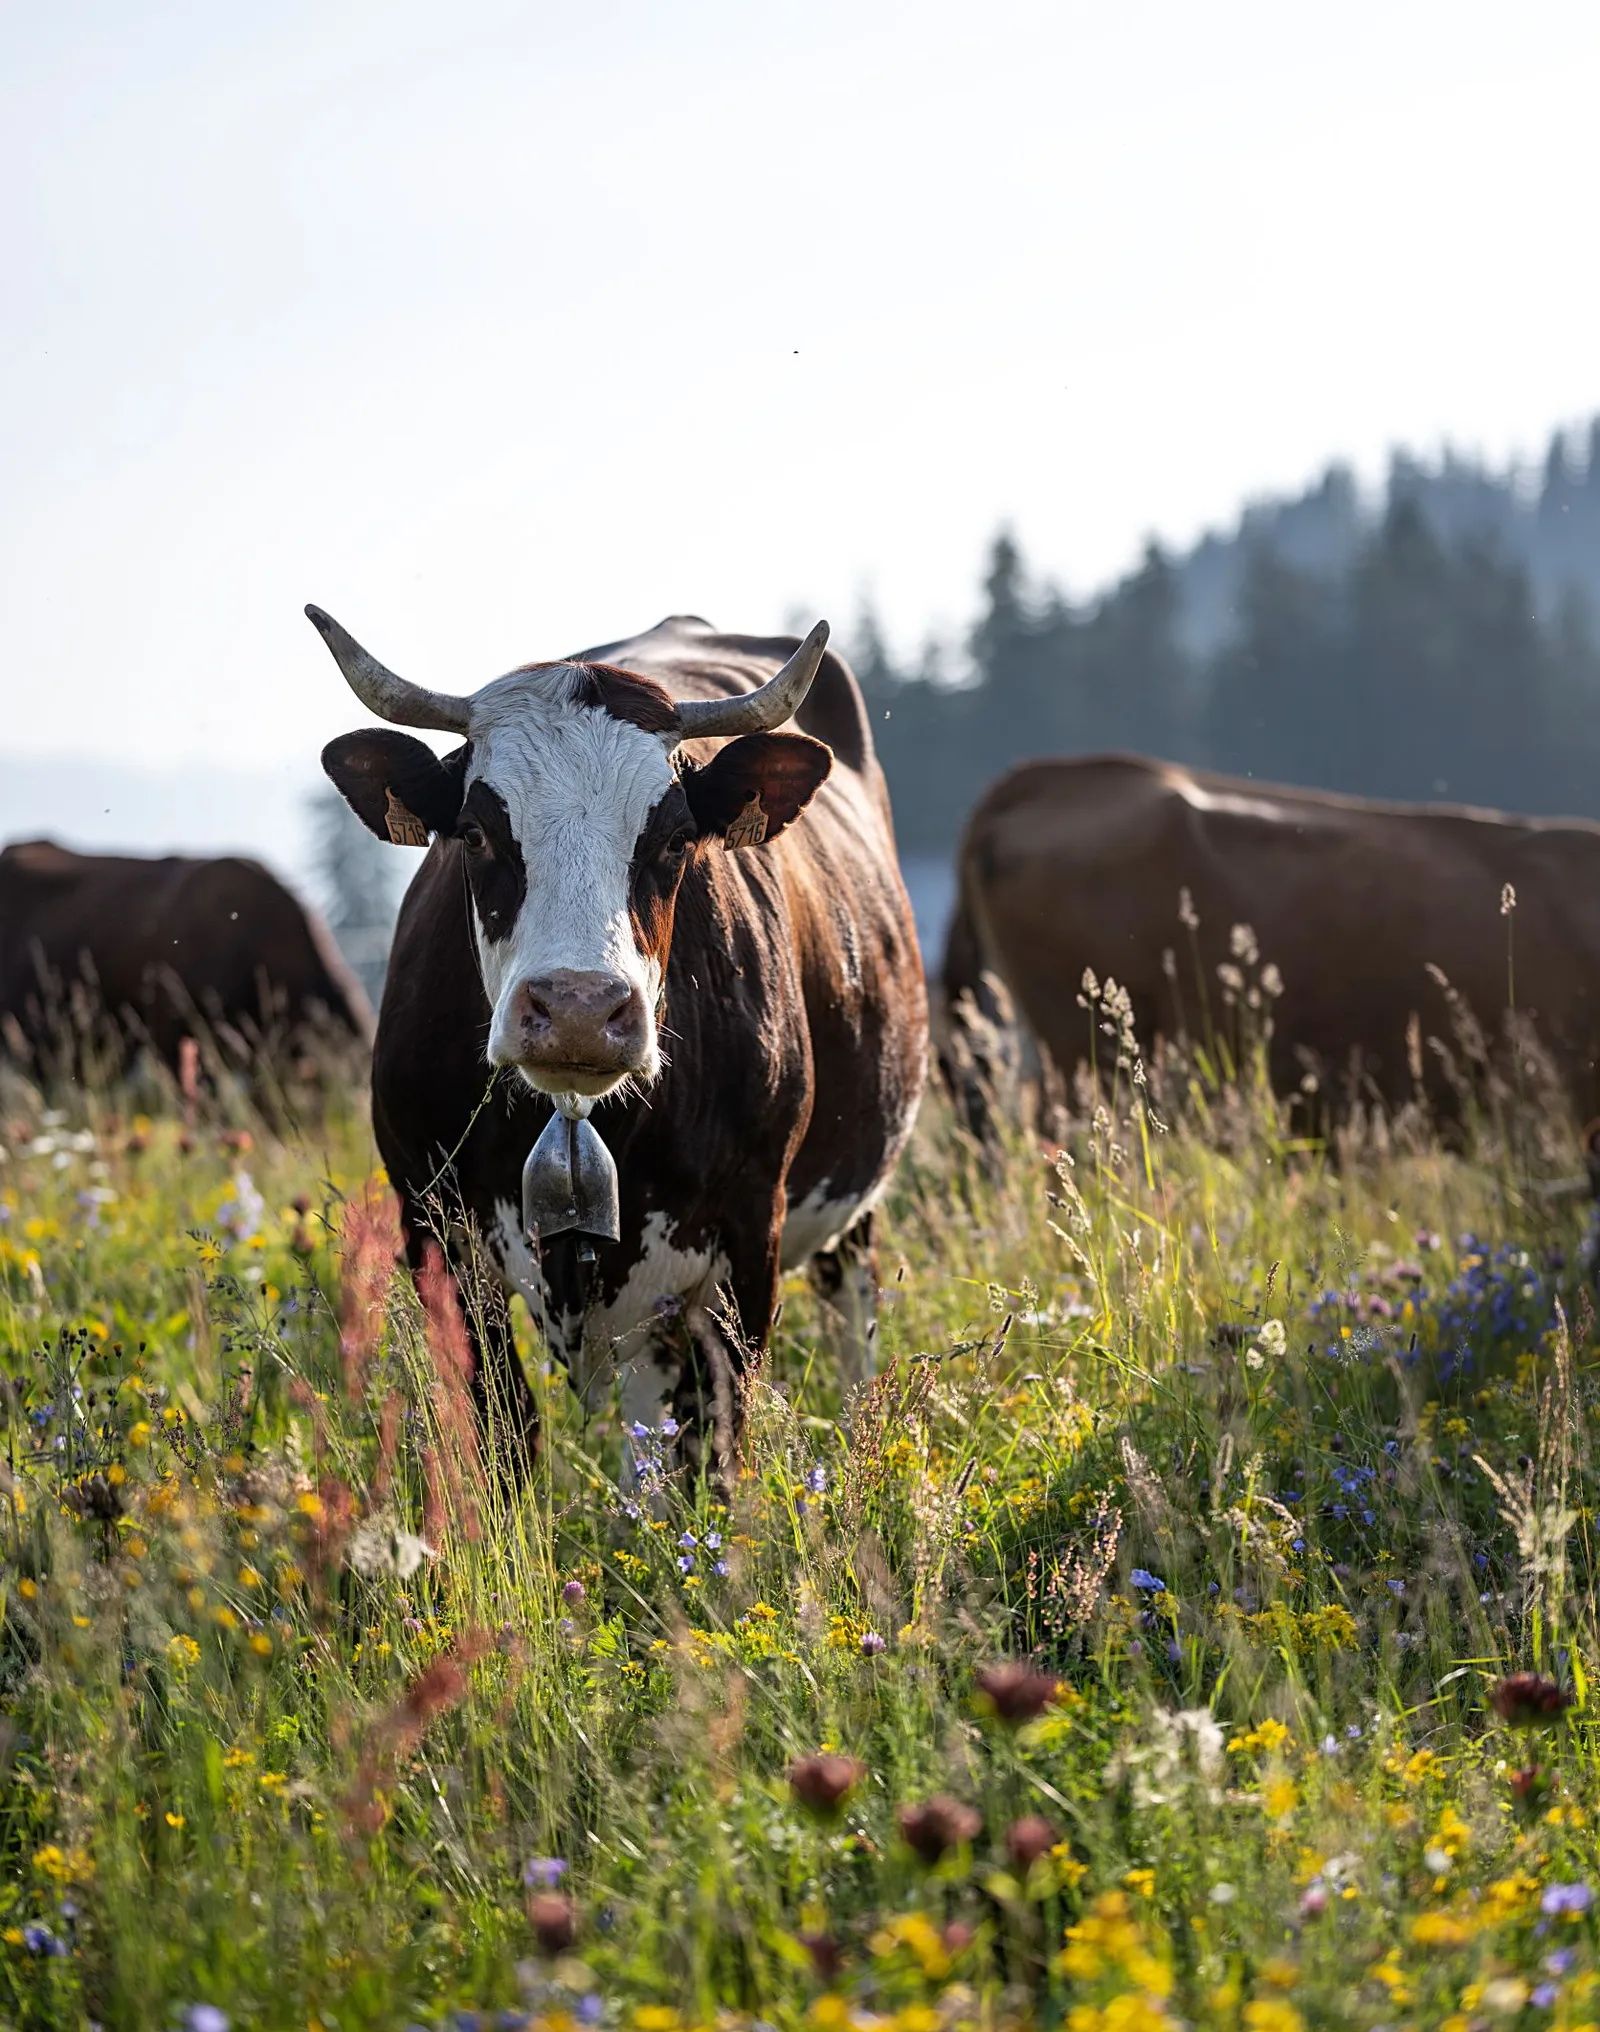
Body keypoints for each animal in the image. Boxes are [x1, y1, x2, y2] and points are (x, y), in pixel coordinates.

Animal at [309, 605, 927, 1479]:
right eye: (474, 831)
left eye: (675, 838)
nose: (578, 1006)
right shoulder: (435, 1231)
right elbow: (508, 1432)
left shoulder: (746, 1244)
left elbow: (712, 1455)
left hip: (852, 1199)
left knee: (851, 1323)